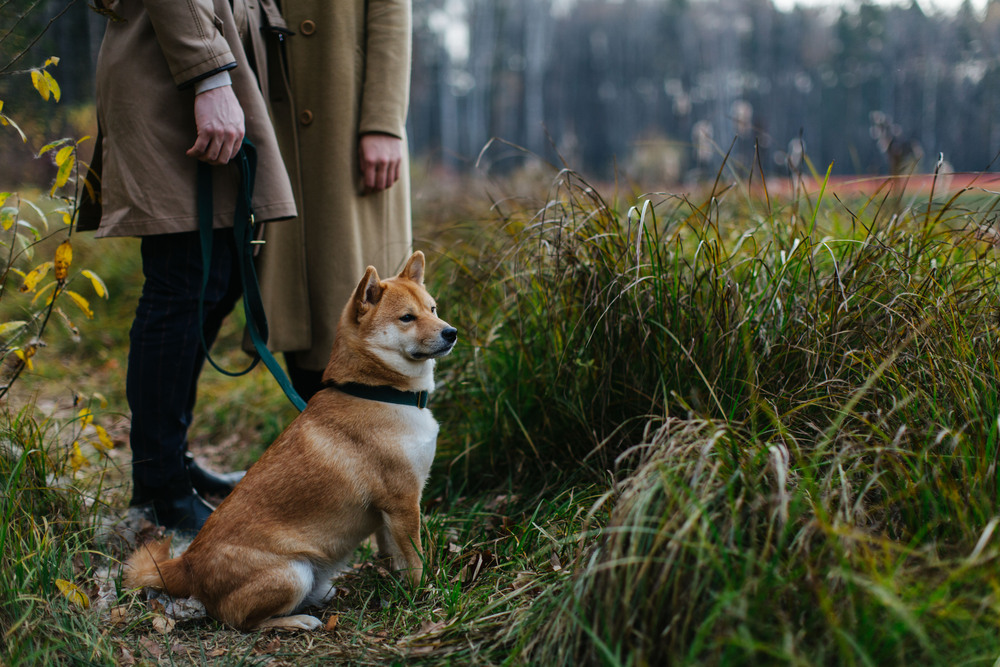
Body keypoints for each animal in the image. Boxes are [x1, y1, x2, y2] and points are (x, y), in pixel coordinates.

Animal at [122, 250, 460, 632]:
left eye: (432, 308)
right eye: (407, 317)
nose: (451, 332)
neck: (376, 391)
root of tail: (186, 565)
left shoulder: (391, 511)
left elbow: (396, 557)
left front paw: (401, 590)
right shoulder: (403, 503)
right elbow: (416, 560)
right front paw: (425, 595)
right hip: (292, 573)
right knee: (240, 621)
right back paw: (298, 620)